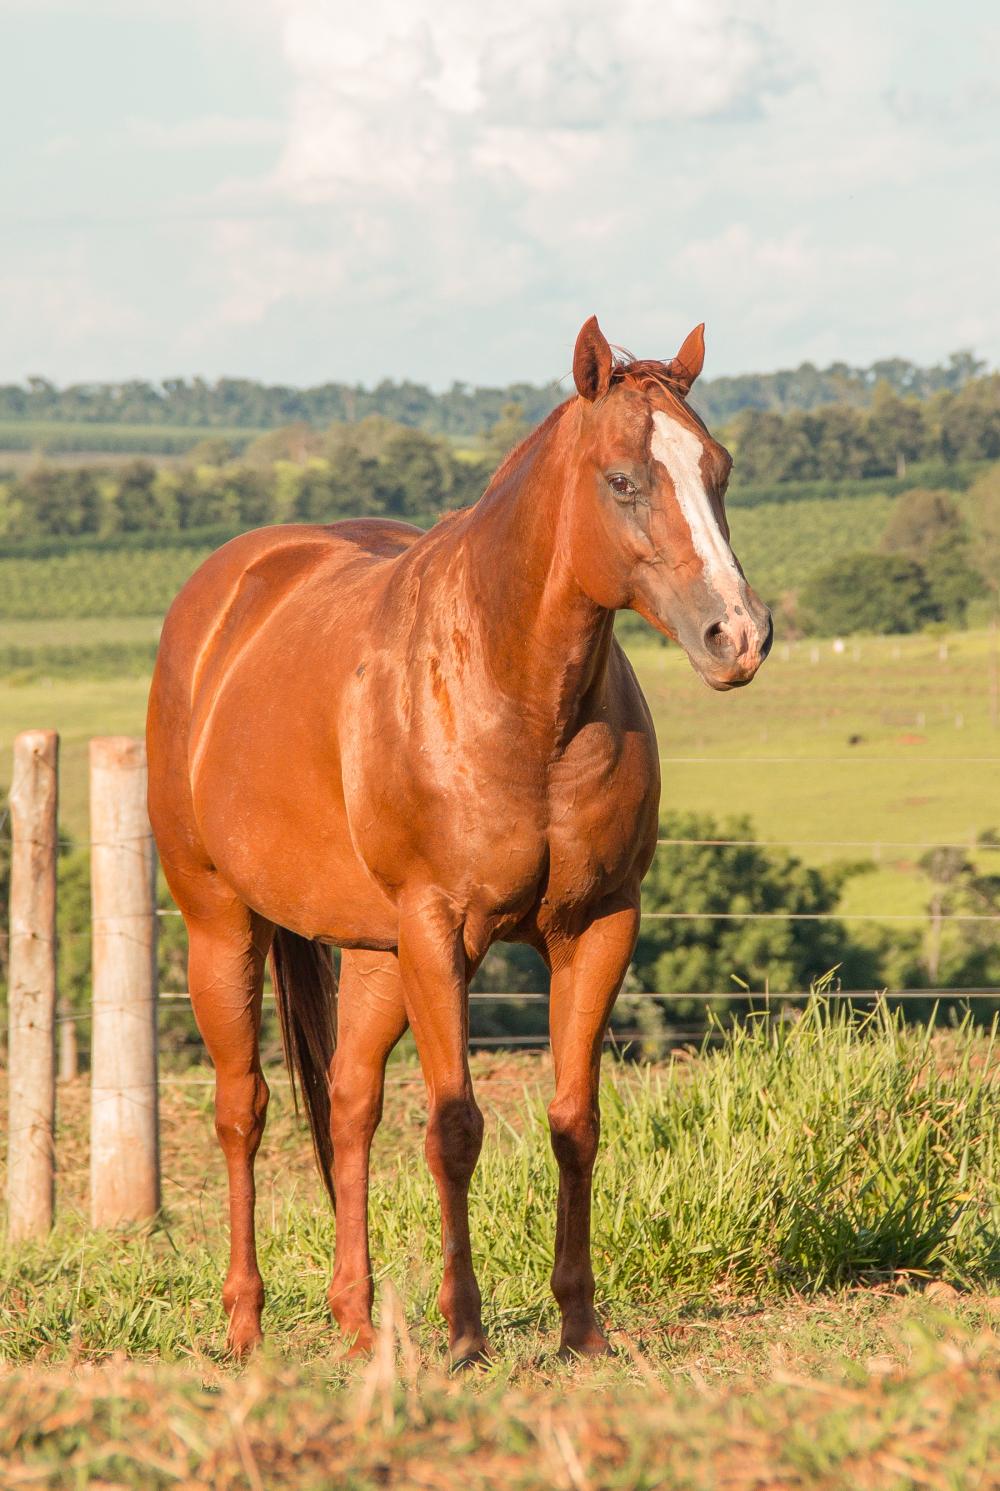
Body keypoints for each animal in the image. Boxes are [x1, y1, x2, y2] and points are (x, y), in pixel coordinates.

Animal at [146, 316, 772, 1362]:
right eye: (623, 480)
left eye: (718, 470)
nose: (740, 634)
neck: (516, 693)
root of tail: (226, 594)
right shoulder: (441, 932)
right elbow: (454, 1127)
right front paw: (466, 1332)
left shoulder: (597, 926)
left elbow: (573, 1120)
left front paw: (580, 1325)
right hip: (221, 924)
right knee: (245, 1110)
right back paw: (245, 1324)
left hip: (376, 953)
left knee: (350, 1105)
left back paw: (361, 1323)